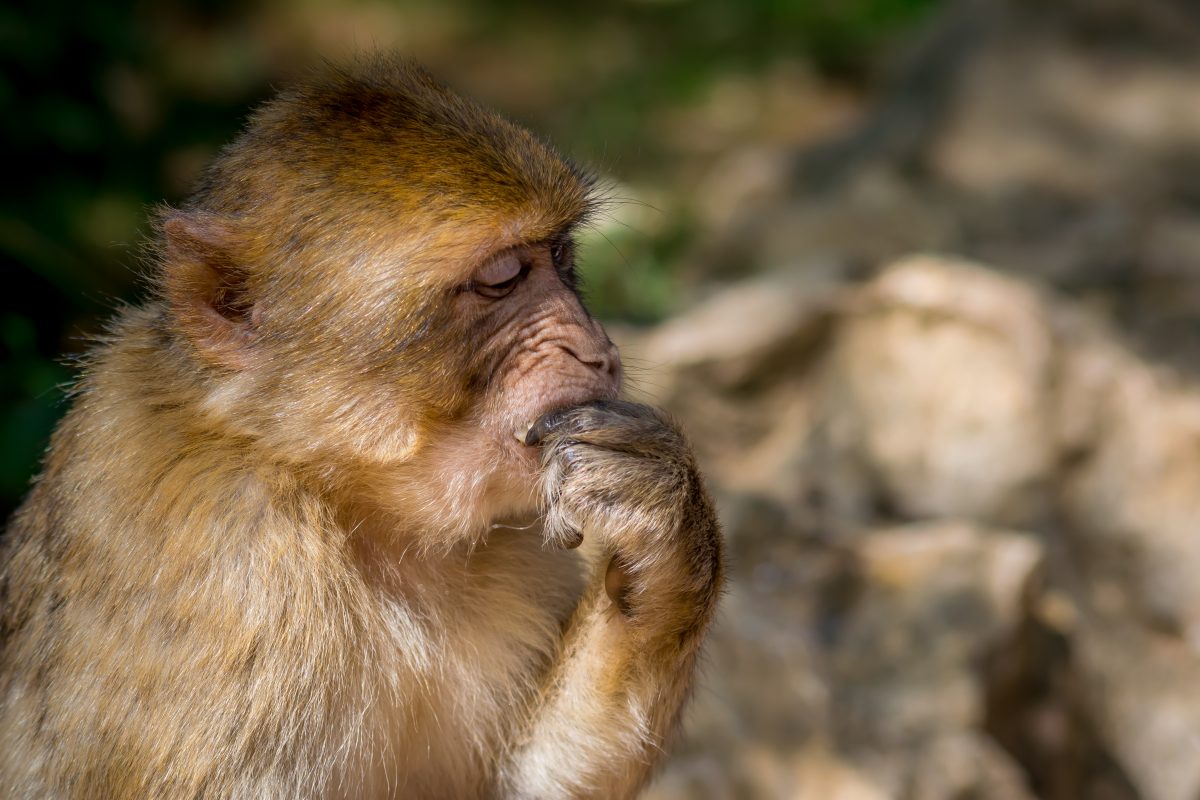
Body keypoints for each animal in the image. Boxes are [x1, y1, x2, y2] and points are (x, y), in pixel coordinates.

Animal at [0, 57, 720, 800]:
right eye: (501, 277)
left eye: (560, 254)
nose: (595, 349)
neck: (345, 495)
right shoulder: (233, 566)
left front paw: (659, 520)